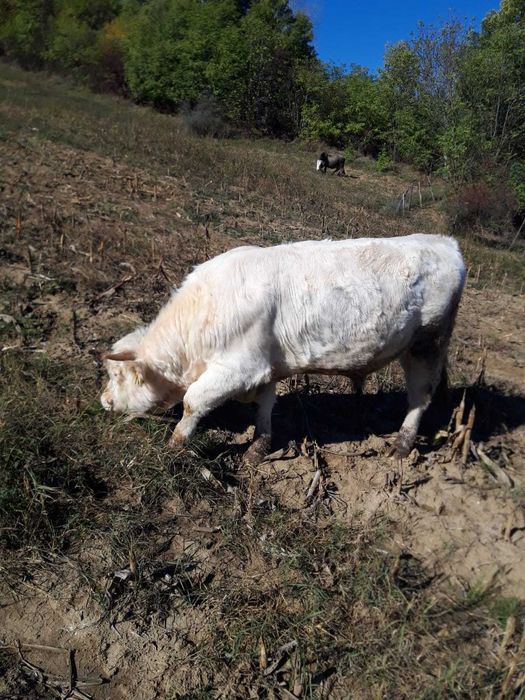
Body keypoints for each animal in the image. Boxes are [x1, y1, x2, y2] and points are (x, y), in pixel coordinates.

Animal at [101, 234, 465, 465]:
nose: (103, 401)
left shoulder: (237, 368)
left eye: (117, 376)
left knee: (419, 396)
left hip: (427, 345)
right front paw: (258, 449)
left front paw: (175, 446)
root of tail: (443, 242)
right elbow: (265, 406)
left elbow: (193, 402)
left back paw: (402, 446)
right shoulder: (264, 365)